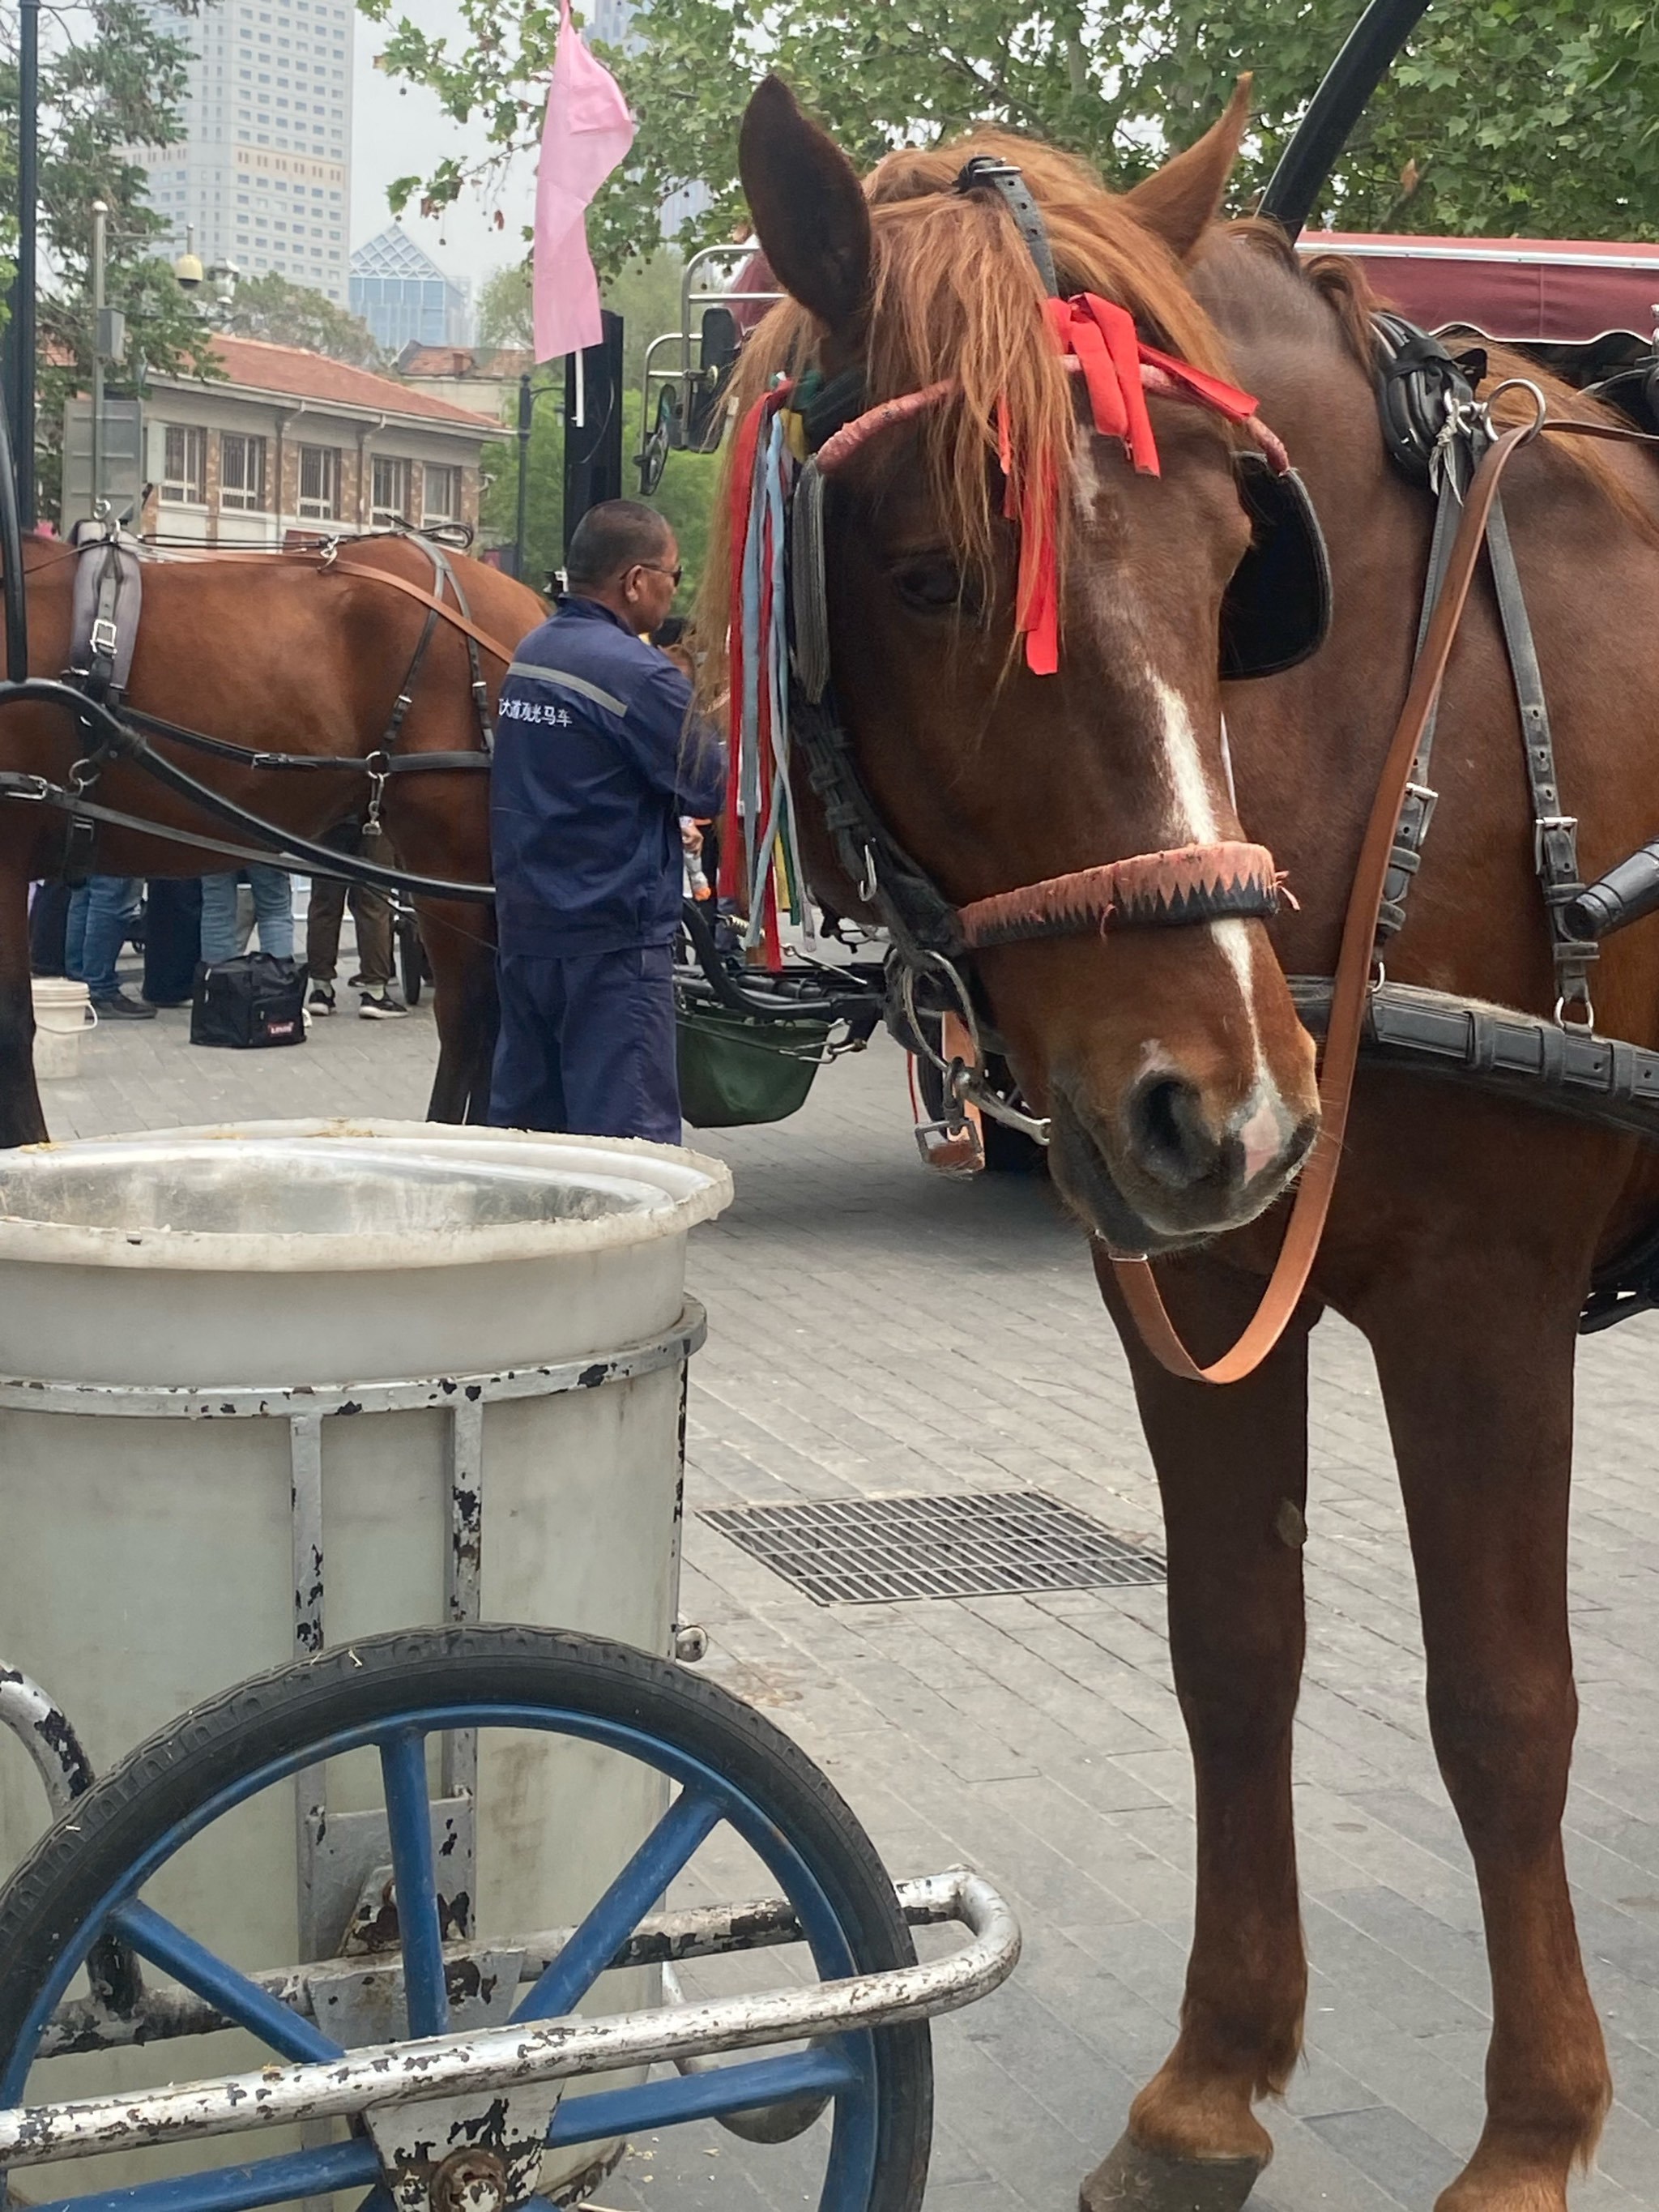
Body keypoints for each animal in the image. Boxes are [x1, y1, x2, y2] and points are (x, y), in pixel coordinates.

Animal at [725, 77, 1659, 2212]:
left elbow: (1503, 1706)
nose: (1222, 1106)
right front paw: (1210, 2083)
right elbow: (1230, 1647)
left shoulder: (1481, 1300)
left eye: (1240, 552)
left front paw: (1530, 2132)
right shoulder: (1208, 1270)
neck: (1414, 713)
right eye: (921, 570)